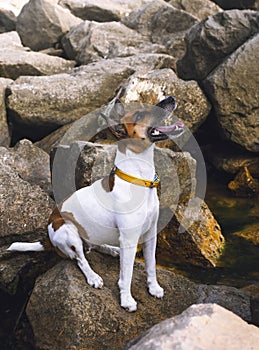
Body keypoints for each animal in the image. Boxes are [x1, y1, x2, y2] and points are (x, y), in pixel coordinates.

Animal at [6, 95, 185, 312]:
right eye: (140, 114)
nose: (171, 98)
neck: (139, 178)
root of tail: (48, 237)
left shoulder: (151, 234)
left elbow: (151, 265)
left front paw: (154, 288)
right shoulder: (130, 238)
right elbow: (126, 275)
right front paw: (126, 300)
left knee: (93, 246)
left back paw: (112, 250)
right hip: (67, 232)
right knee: (80, 259)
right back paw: (93, 277)